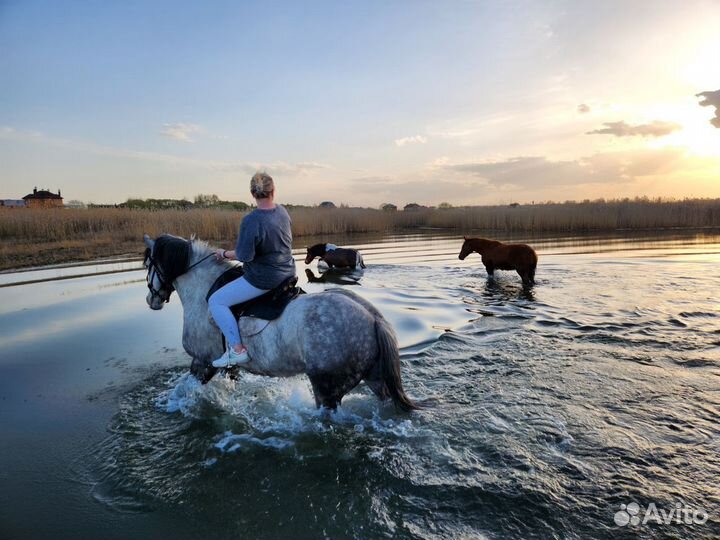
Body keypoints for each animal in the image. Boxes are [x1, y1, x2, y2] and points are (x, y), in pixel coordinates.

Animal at [141, 234, 416, 412]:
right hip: (374, 378)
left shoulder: (202, 362)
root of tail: (374, 319)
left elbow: (184, 389)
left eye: (148, 265)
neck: (204, 289)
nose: (151, 300)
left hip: (328, 388)